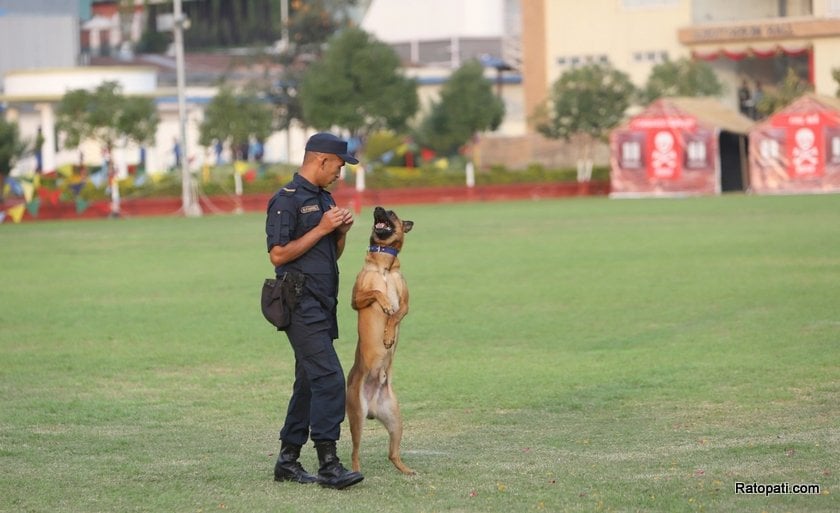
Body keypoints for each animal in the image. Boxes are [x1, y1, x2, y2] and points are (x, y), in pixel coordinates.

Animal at [346, 205, 416, 476]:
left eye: (392, 213)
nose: (376, 208)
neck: (384, 267)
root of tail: (373, 407)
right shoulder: (356, 299)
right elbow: (376, 291)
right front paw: (385, 304)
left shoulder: (406, 304)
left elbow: (395, 315)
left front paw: (388, 335)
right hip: (356, 417)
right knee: (354, 453)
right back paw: (356, 472)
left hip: (396, 420)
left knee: (392, 454)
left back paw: (406, 470)